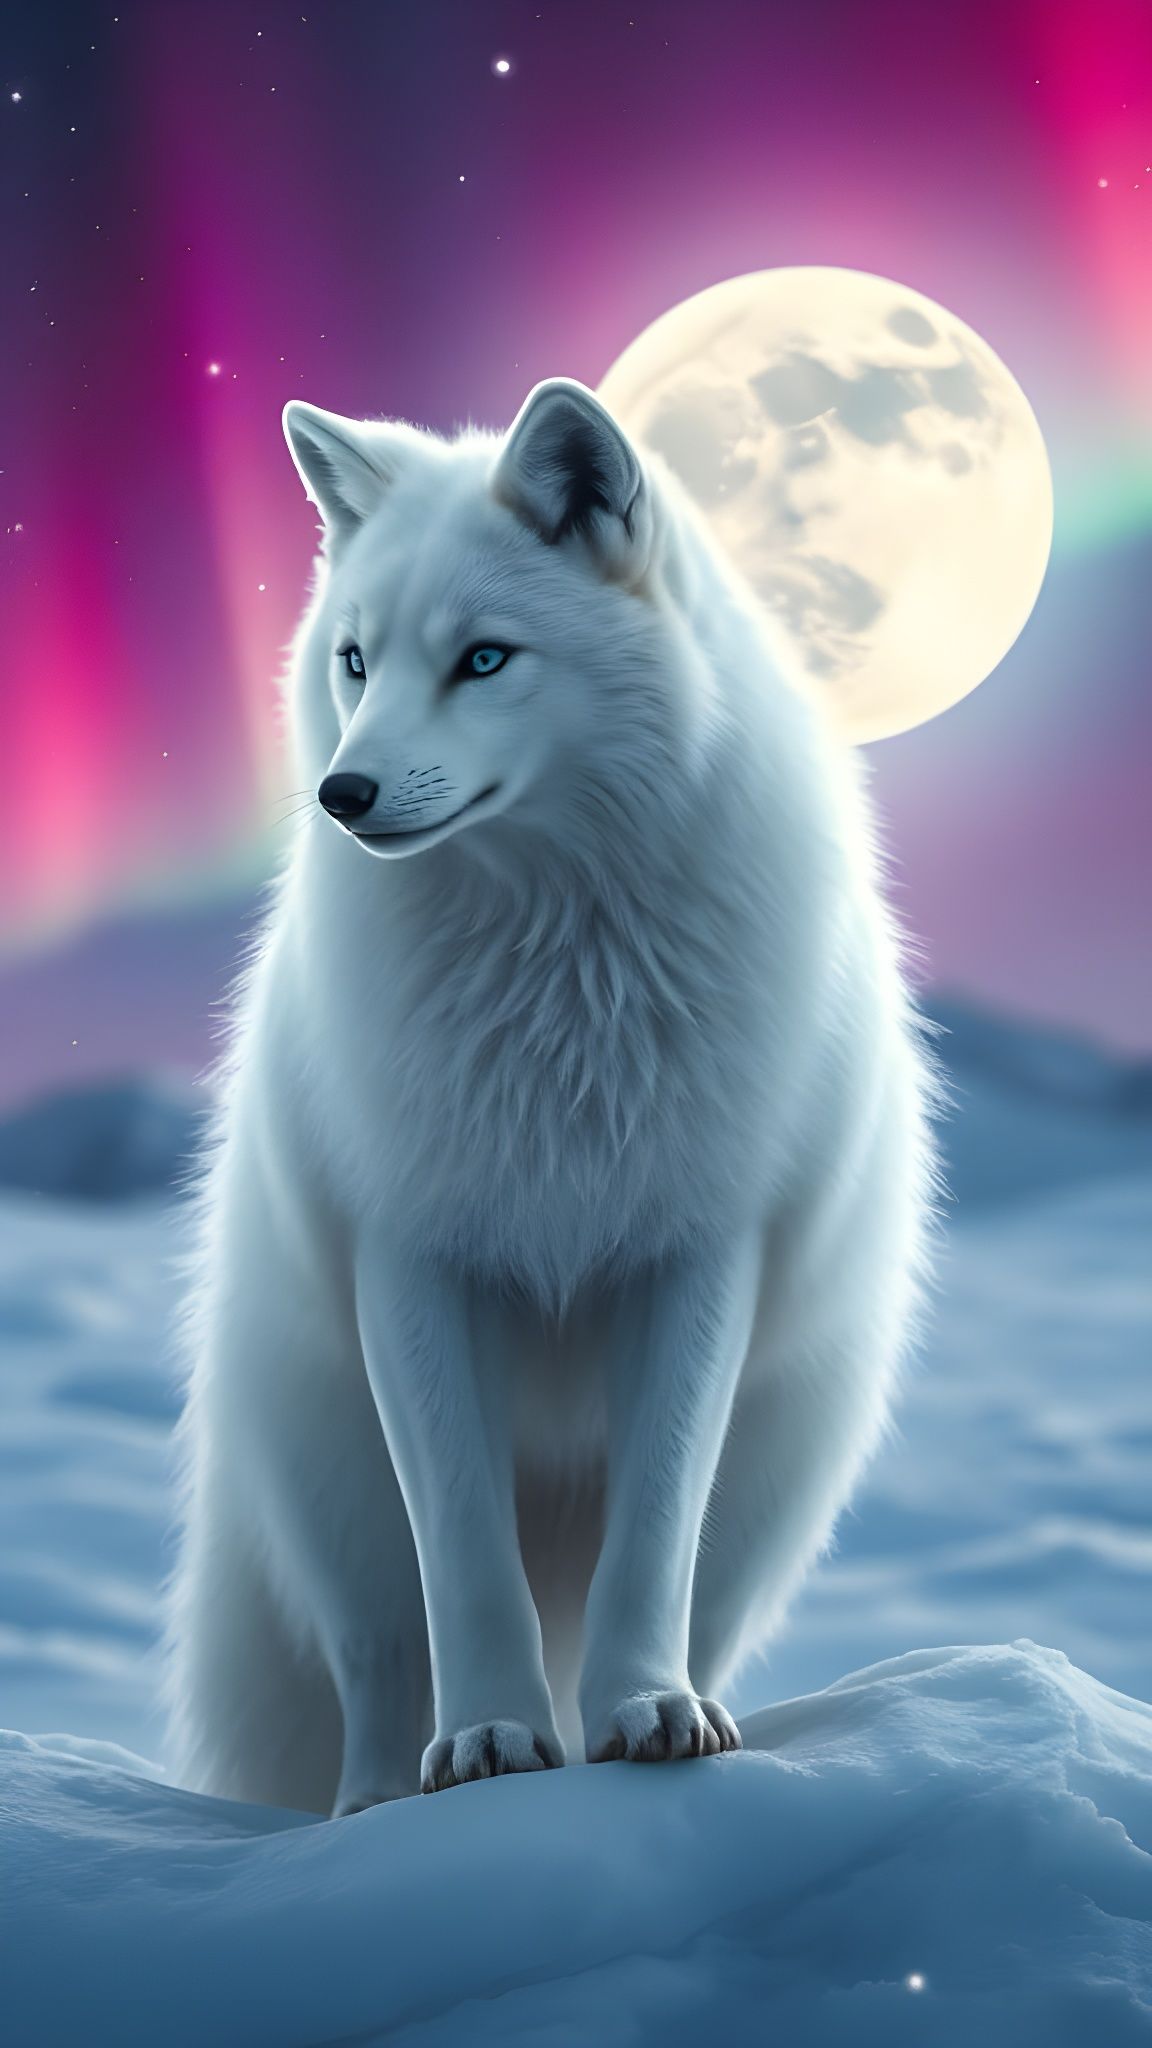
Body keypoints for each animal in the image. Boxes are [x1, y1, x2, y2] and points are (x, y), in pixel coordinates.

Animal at [162, 375, 941, 1815]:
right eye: (355, 662)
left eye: (484, 659)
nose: (340, 792)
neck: (562, 971)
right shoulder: (413, 1255)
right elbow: (467, 1560)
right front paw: (486, 1743)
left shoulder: (700, 1251)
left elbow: (654, 1533)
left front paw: (647, 1713)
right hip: (337, 1495)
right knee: (375, 1663)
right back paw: (376, 1802)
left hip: (776, 1490)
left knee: (705, 1596)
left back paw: (691, 1708)